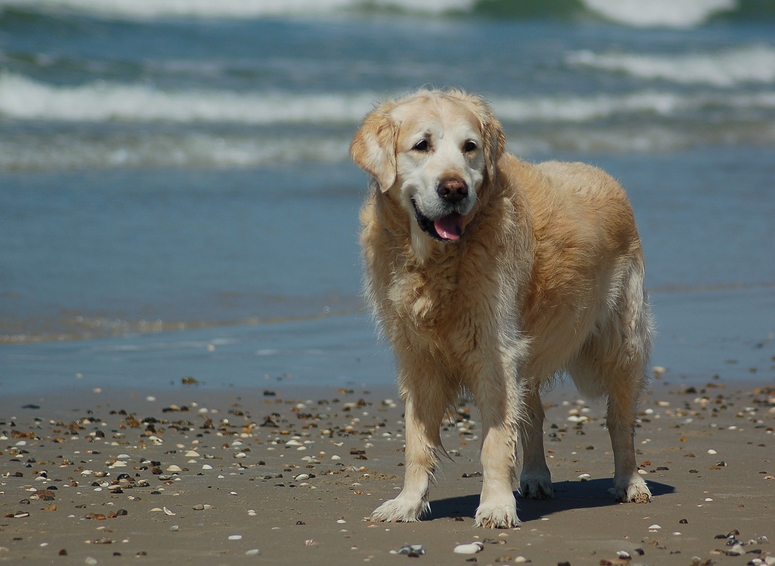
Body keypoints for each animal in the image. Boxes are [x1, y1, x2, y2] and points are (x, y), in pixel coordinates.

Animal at [352, 87, 656, 528]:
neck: (437, 260)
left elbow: (495, 441)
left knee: (620, 421)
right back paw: (536, 477)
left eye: (470, 147)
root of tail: (606, 177)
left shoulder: (492, 352)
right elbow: (417, 442)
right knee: (533, 414)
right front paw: (407, 502)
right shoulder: (418, 358)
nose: (455, 189)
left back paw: (630, 482)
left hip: (622, 342)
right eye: (422, 145)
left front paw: (495, 505)